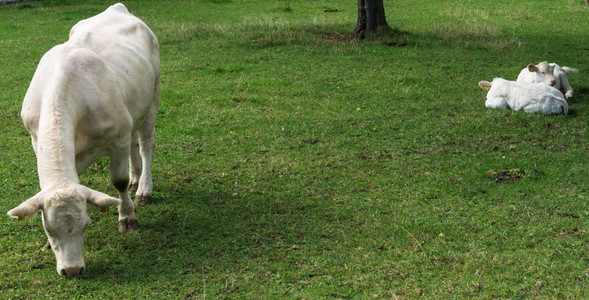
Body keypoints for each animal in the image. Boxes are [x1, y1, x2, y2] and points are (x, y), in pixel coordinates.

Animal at [8, 3, 160, 276]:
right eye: (48, 229)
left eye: (87, 224)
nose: (72, 270)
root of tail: (117, 7)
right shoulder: (37, 141)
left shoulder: (117, 138)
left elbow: (118, 181)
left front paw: (127, 217)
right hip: (133, 106)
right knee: (135, 145)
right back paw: (136, 182)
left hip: (152, 98)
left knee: (145, 145)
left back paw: (143, 189)